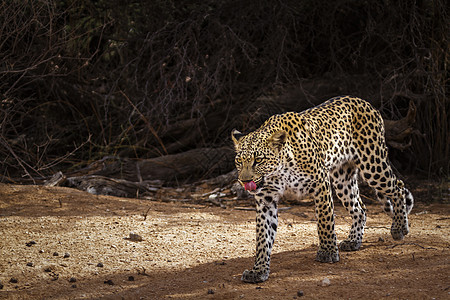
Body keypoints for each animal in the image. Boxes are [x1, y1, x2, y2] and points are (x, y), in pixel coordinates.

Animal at [232, 95, 414, 284]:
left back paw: (399, 228)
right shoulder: (266, 200)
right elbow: (263, 237)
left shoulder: (321, 183)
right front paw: (259, 270)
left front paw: (327, 252)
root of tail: (365, 102)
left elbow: (325, 221)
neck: (279, 172)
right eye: (239, 161)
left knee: (398, 188)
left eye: (258, 160)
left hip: (373, 165)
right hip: (343, 179)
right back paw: (353, 241)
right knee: (360, 208)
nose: (245, 181)